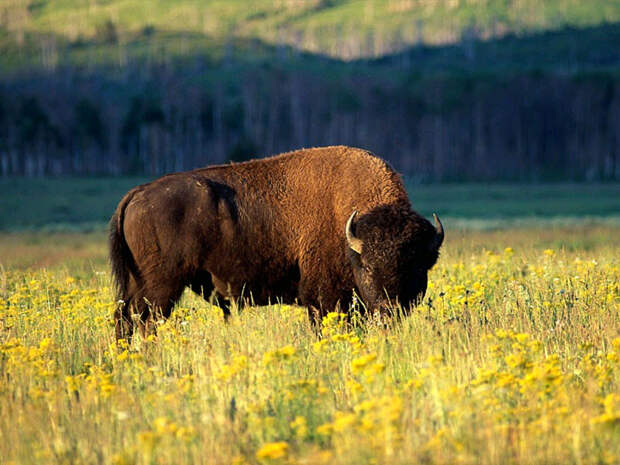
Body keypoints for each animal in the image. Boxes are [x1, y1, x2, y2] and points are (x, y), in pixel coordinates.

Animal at [109, 146, 444, 340]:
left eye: (415, 267)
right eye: (369, 267)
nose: (390, 310)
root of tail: (138, 193)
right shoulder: (324, 299)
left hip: (138, 283)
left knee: (125, 319)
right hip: (161, 286)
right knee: (146, 321)